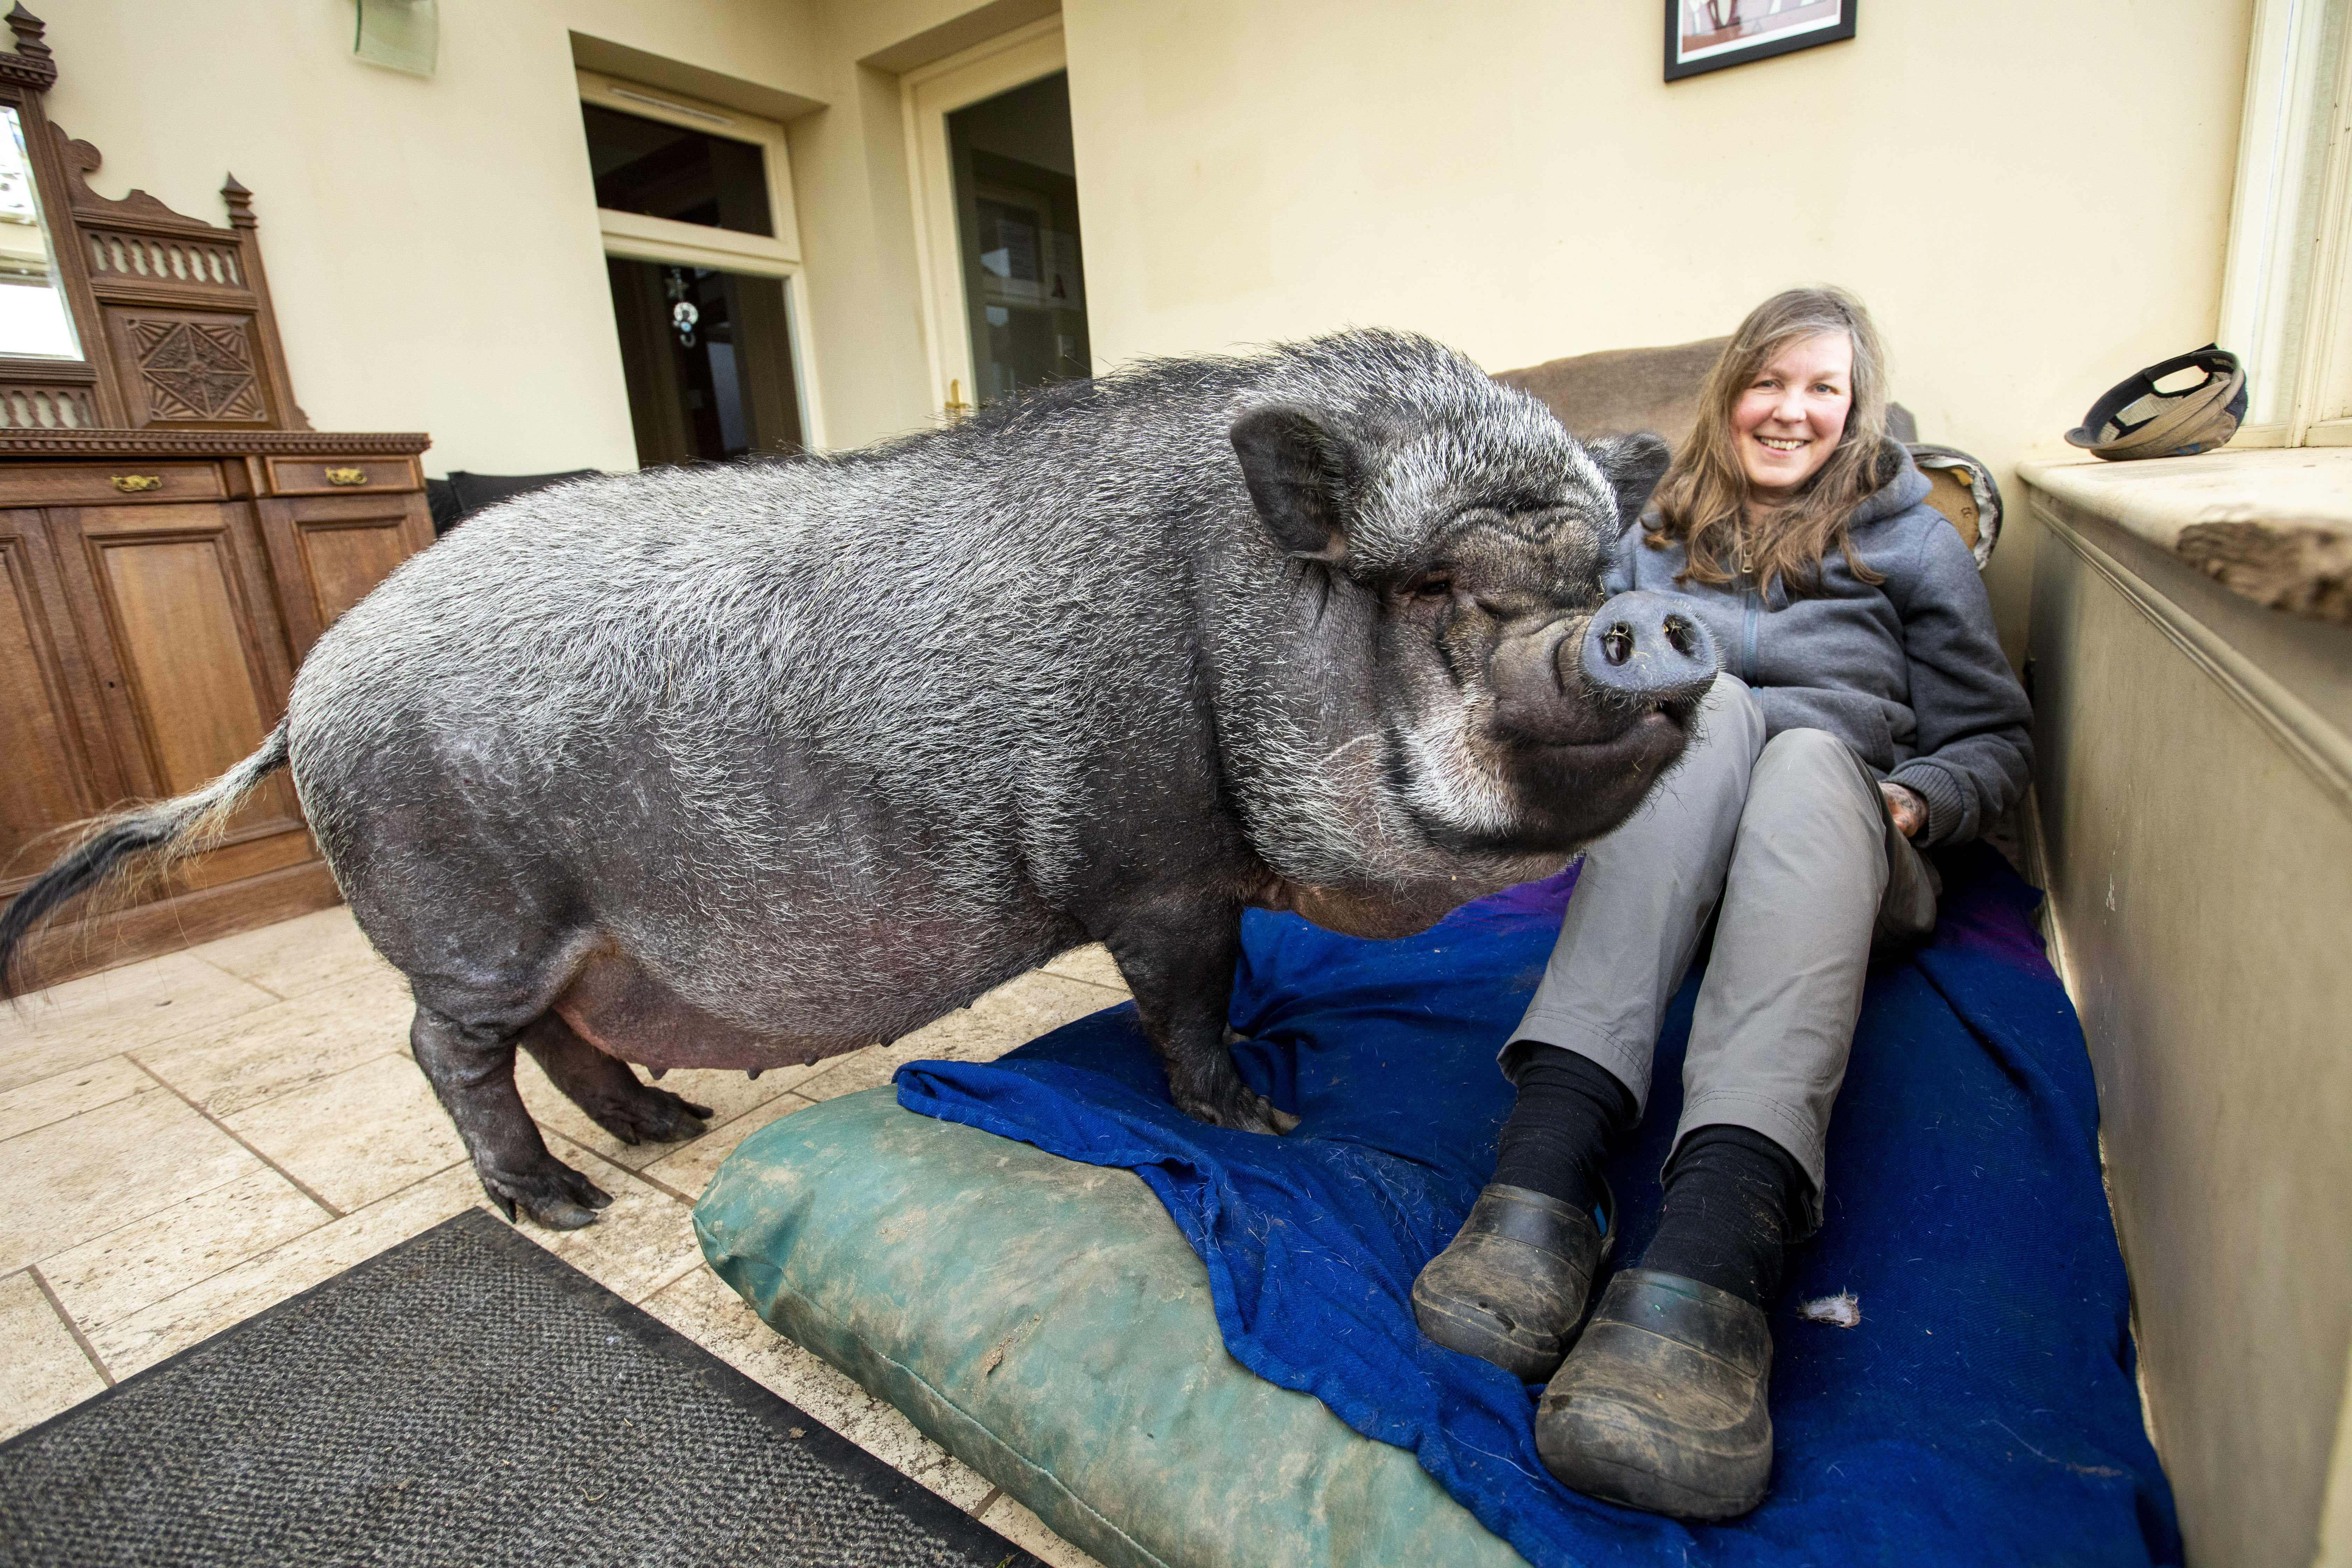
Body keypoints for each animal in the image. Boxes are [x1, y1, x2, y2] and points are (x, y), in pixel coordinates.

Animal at [5, 334, 1731, 1222]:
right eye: (1439, 590)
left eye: (1602, 566)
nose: (1637, 625)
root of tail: (308, 686)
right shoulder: (1156, 868)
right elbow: (1187, 1000)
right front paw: (1265, 1119)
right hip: (470, 911)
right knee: (443, 1049)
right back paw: (570, 1207)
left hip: (573, 929)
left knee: (554, 1036)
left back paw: (666, 1130)